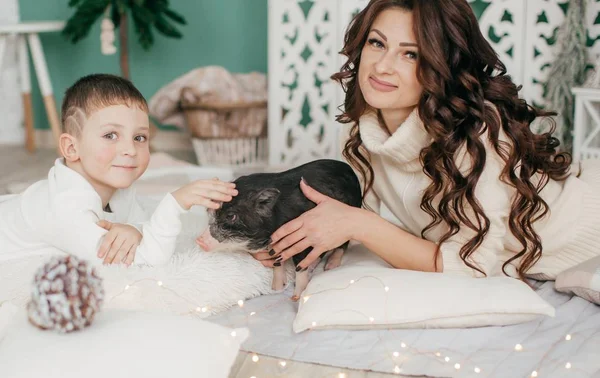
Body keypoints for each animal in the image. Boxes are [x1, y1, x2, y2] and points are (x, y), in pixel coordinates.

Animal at [197, 158, 360, 300]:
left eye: (231, 216)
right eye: (209, 211)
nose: (199, 240)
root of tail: (350, 170)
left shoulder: (301, 239)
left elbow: (299, 266)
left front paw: (296, 297)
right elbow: (277, 263)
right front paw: (275, 289)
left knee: (342, 243)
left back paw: (330, 267)